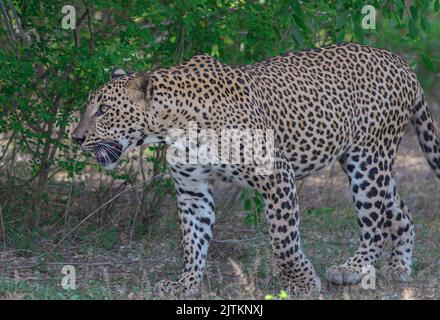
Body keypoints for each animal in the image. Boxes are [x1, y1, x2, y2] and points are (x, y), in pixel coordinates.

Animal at [72, 42, 440, 298]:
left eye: (103, 109)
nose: (76, 137)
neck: (173, 124)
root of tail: (401, 62)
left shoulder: (277, 175)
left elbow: (283, 241)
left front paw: (303, 284)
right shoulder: (192, 191)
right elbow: (191, 241)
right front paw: (185, 284)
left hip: (368, 160)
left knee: (376, 220)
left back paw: (354, 268)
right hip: (365, 160)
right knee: (400, 213)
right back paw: (398, 269)